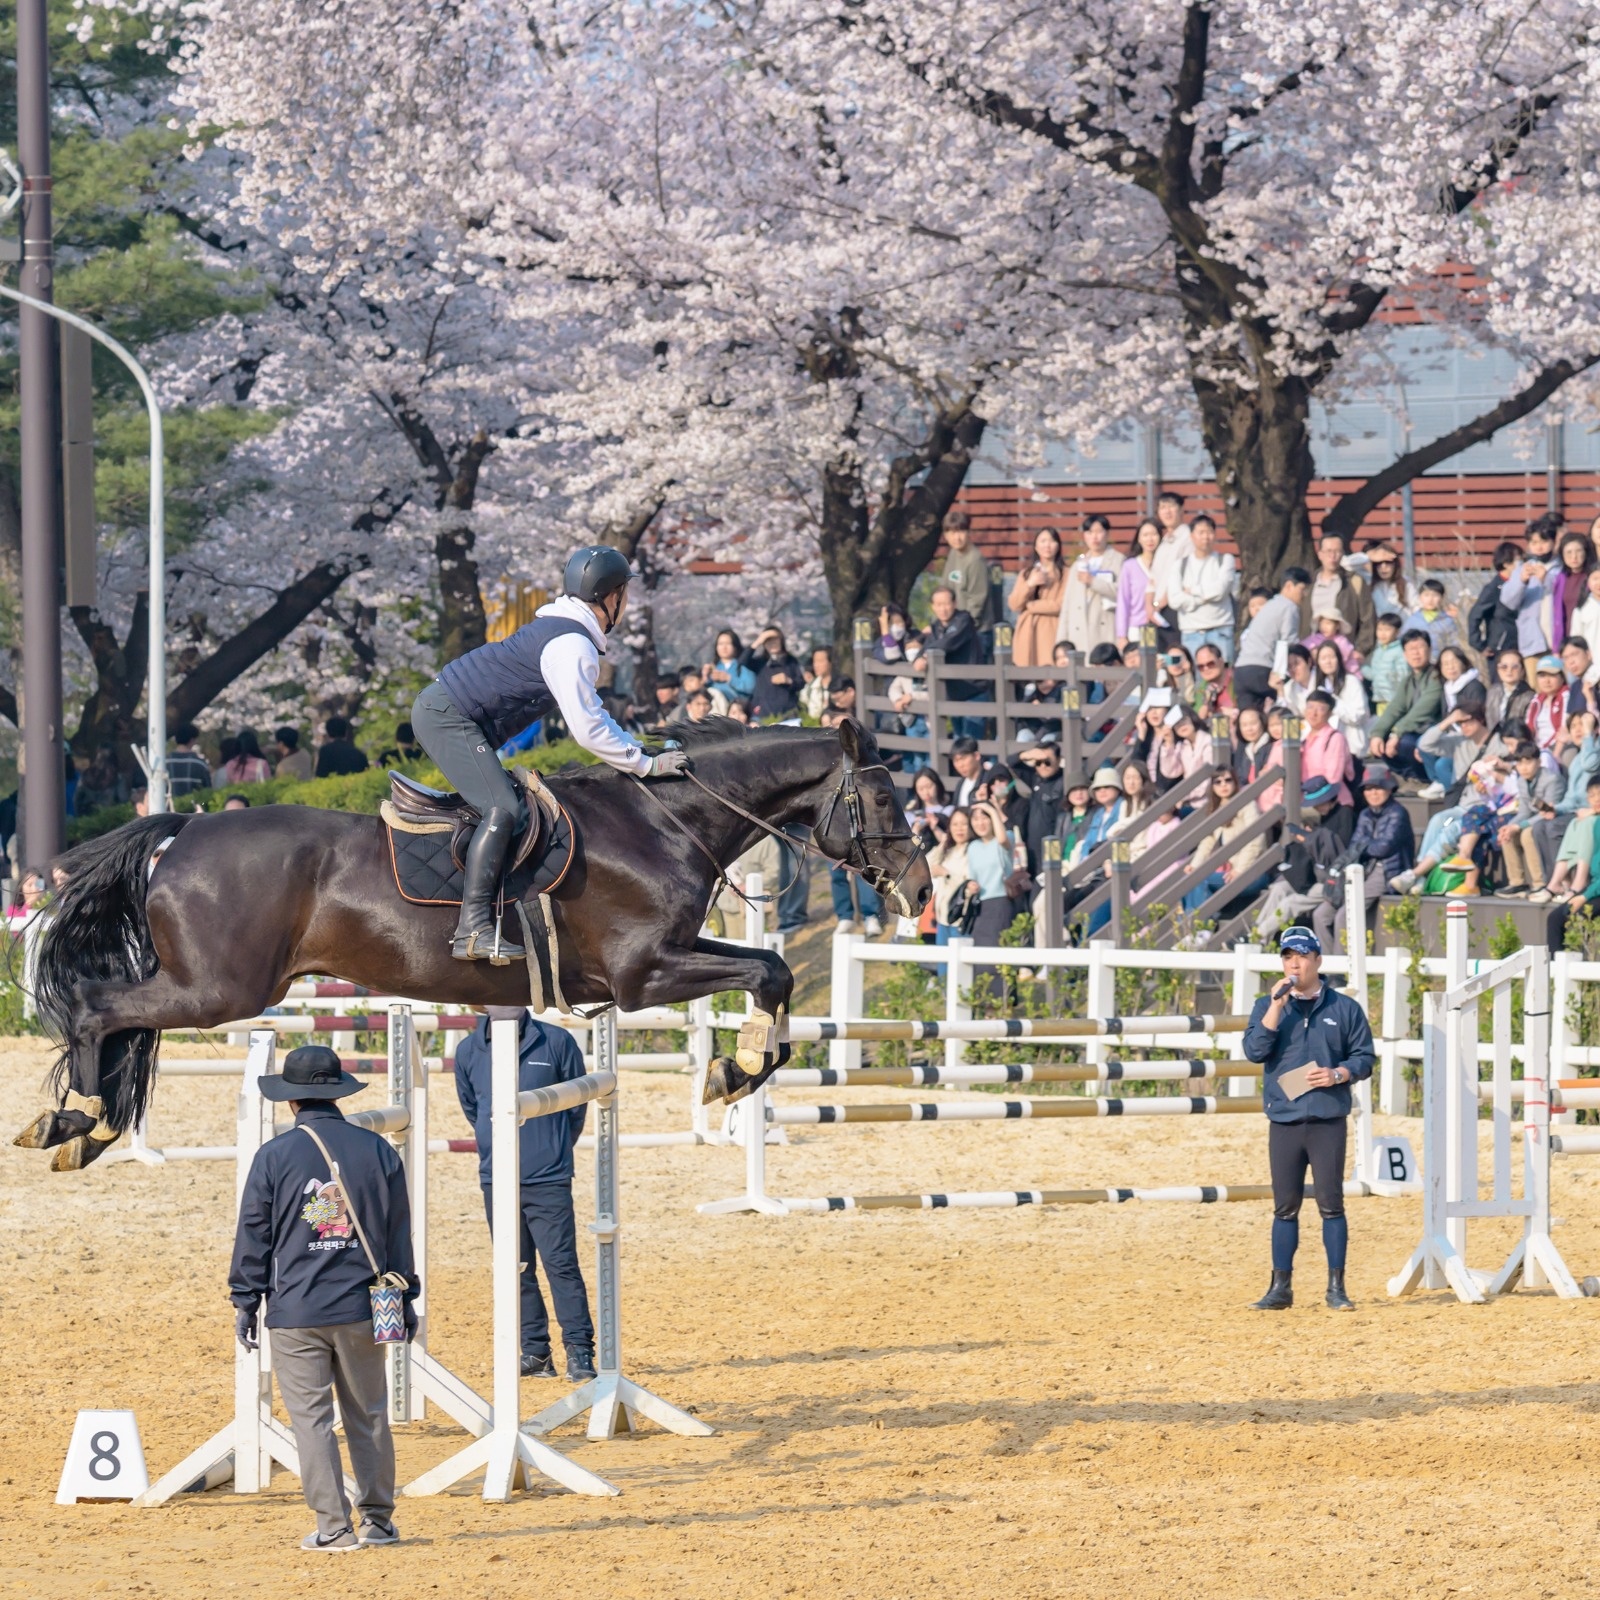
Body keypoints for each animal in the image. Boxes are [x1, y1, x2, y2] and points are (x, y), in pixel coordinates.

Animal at [18, 720, 934, 1171]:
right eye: (887, 798)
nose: (924, 892)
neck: (662, 820)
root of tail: (184, 831)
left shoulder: (668, 959)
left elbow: (769, 974)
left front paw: (737, 1069)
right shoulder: (645, 975)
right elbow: (772, 970)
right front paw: (734, 1072)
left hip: (213, 989)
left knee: (115, 1020)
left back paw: (84, 1130)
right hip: (220, 991)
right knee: (98, 1010)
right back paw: (81, 1121)